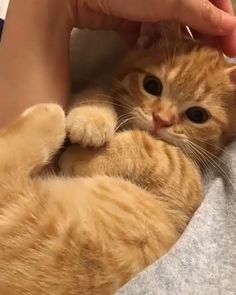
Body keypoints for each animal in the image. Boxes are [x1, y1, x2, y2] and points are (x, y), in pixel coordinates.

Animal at [0, 40, 235, 295]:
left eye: (198, 115)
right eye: (152, 85)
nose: (160, 120)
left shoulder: (188, 180)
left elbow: (153, 147)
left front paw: (80, 157)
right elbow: (99, 91)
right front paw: (91, 118)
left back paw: (49, 114)